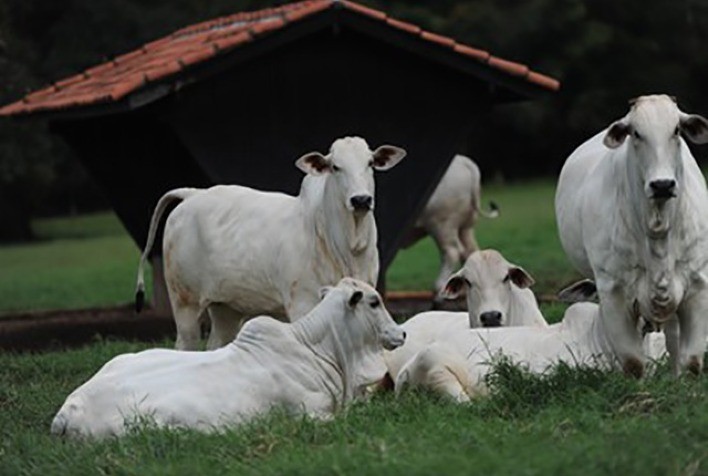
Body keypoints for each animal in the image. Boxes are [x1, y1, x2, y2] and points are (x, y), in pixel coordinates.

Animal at [136, 137, 406, 350]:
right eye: (335, 167)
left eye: (370, 163)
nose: (361, 200)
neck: (348, 246)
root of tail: (192, 194)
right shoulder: (303, 303)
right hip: (185, 303)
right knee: (185, 343)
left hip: (226, 307)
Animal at [404, 155, 498, 298]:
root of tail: (464, 161)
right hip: (465, 227)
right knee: (470, 251)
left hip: (442, 224)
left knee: (451, 252)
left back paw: (438, 292)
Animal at [552, 94, 708, 376]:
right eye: (636, 133)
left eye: (676, 130)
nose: (662, 184)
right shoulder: (612, 292)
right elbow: (633, 363)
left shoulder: (698, 286)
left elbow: (691, 362)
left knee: (673, 338)